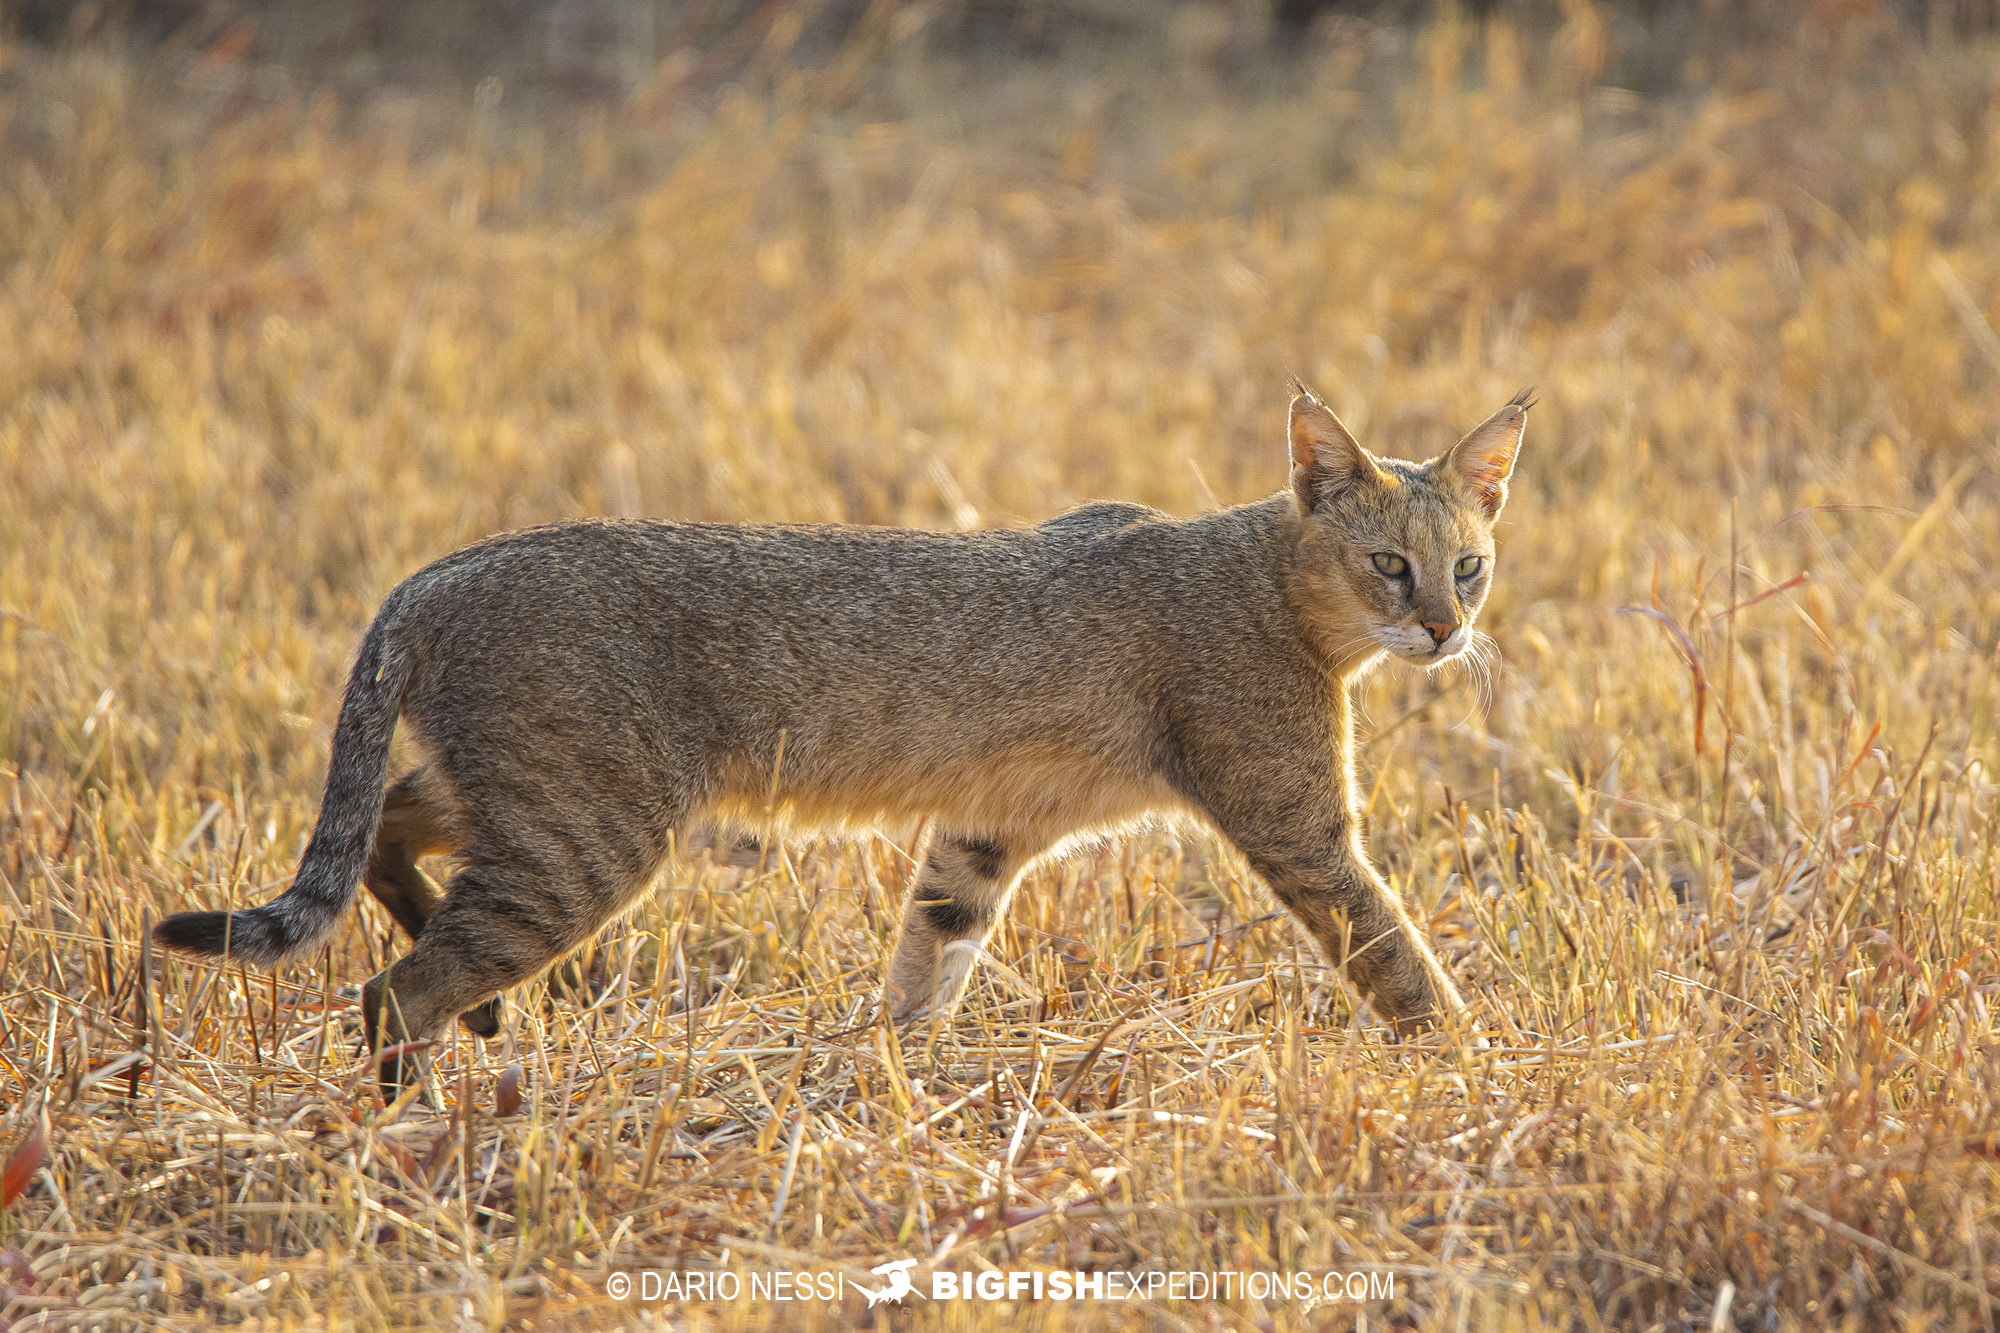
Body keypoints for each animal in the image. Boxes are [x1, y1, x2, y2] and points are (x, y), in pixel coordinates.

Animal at [160, 382, 1528, 1080]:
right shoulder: (1303, 831)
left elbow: (926, 961)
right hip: (586, 839)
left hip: (536, 803)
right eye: (1388, 564)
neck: (1265, 579)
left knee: (385, 836)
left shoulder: (981, 833)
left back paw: (471, 1027)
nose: (1447, 630)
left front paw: (893, 1073)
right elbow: (1400, 959)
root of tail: (436, 571)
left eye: (1470, 563)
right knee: (392, 993)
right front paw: (1477, 1066)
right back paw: (418, 1122)